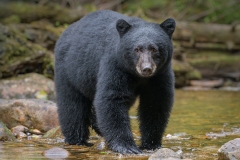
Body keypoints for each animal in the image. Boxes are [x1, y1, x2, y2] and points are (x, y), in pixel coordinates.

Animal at [54, 9, 174, 154]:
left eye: (154, 49)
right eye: (137, 49)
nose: (146, 68)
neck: (138, 76)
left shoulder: (159, 75)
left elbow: (155, 103)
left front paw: (151, 144)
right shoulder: (115, 65)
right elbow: (112, 99)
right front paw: (127, 147)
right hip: (70, 71)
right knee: (72, 106)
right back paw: (77, 139)